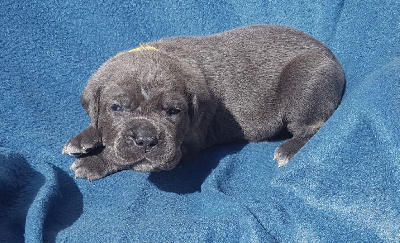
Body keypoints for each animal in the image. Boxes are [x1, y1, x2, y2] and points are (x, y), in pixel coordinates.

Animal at [61, 25, 344, 180]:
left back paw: (289, 149)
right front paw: (84, 137)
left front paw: (95, 162)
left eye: (174, 111)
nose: (145, 139)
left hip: (304, 83)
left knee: (315, 126)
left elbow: (121, 156)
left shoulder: (189, 142)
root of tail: (333, 57)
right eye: (116, 108)